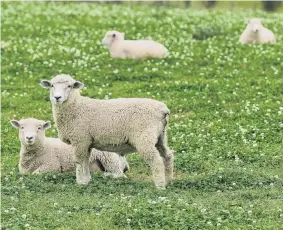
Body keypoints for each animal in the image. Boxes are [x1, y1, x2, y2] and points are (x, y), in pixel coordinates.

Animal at [39, 74, 173, 188]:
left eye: (69, 86)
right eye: (52, 85)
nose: (57, 97)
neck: (76, 107)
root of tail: (163, 109)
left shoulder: (80, 140)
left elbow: (80, 161)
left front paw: (81, 182)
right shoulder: (87, 142)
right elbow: (85, 161)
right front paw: (86, 180)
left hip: (144, 137)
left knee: (156, 160)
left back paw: (160, 186)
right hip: (161, 136)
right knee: (167, 155)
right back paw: (168, 181)